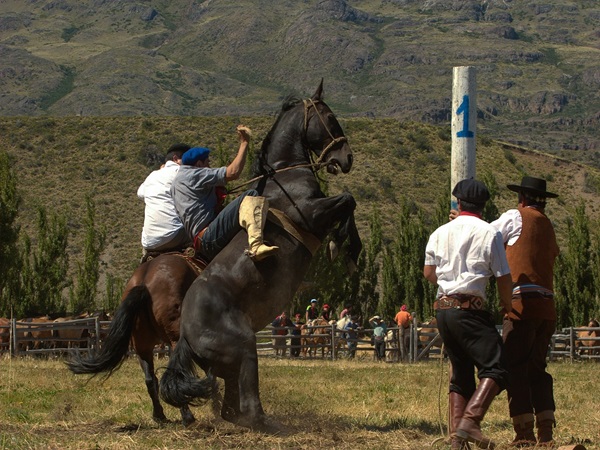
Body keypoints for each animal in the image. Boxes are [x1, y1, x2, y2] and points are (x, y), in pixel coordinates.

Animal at [67, 253, 204, 426]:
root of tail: (144, 284)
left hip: (142, 346)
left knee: (150, 379)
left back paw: (159, 415)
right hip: (175, 339)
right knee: (174, 374)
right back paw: (188, 417)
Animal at [157, 80, 360, 428]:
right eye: (330, 118)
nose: (345, 157)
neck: (285, 175)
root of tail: (184, 335)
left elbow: (348, 203)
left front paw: (347, 248)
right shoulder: (311, 213)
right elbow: (348, 200)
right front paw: (344, 247)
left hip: (226, 364)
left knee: (230, 405)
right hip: (244, 344)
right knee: (249, 402)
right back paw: (266, 422)